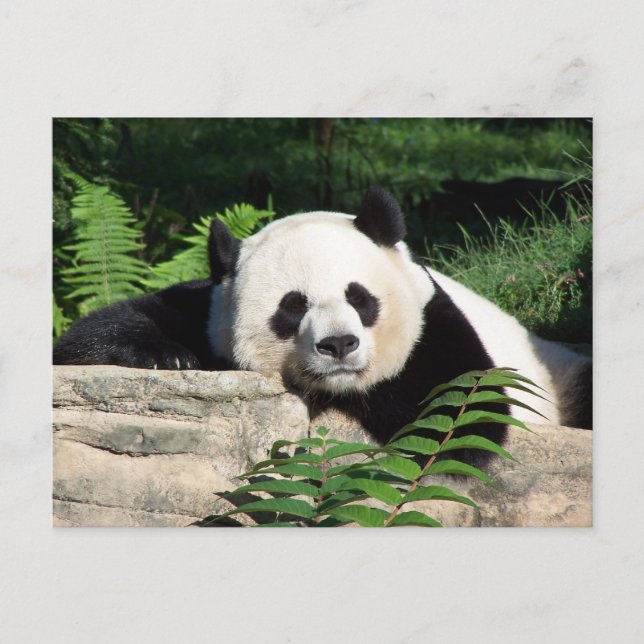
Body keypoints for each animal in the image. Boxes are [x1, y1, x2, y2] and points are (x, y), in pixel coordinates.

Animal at [54, 187, 592, 452]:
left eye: (361, 298)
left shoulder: (434, 325)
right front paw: (168, 356)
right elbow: (97, 330)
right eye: (293, 306)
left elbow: (463, 418)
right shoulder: (206, 310)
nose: (338, 346)